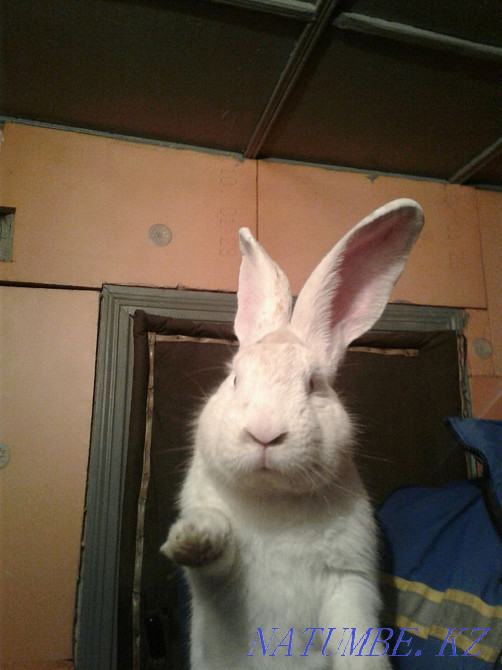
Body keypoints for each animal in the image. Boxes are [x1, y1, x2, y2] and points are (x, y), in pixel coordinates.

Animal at [161, 198, 424, 669]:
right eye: (234, 379)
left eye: (313, 384)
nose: (265, 433)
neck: (272, 505)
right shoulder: (217, 588)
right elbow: (216, 562)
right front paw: (195, 539)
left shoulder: (348, 582)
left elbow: (360, 643)